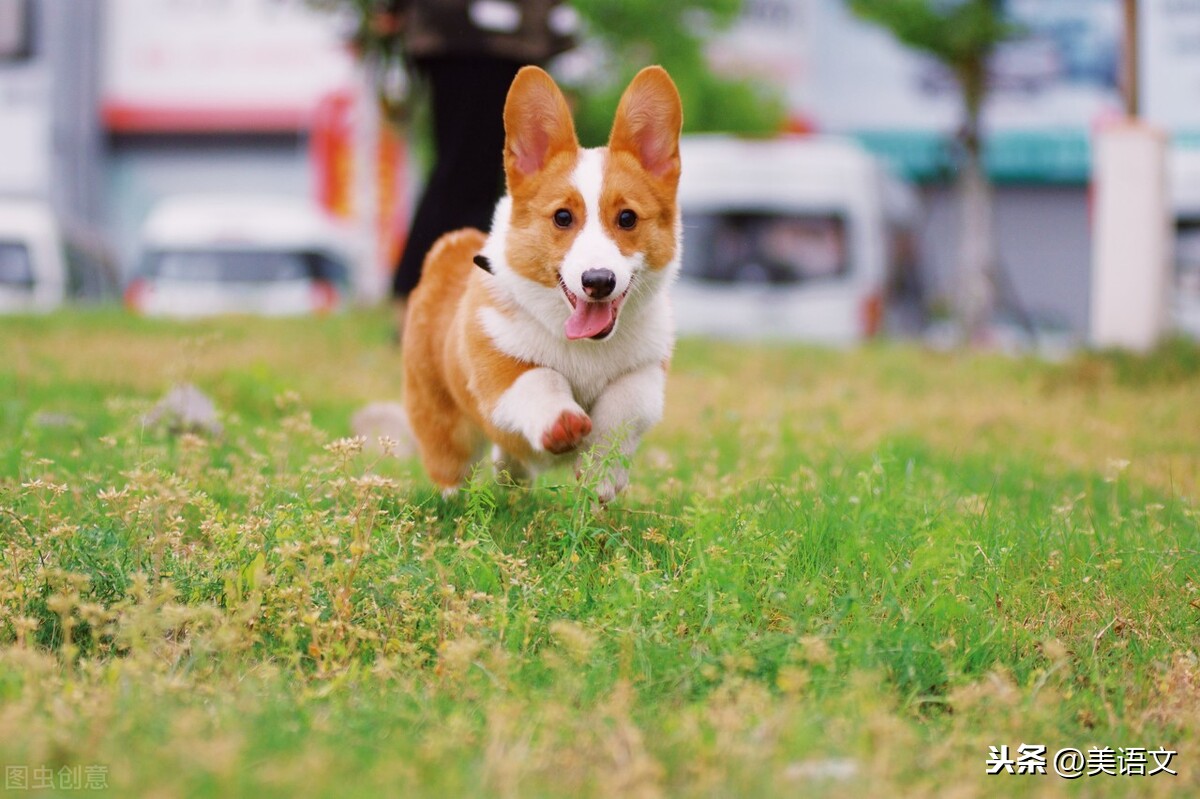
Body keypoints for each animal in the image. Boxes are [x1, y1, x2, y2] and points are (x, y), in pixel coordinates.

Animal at [403, 65, 681, 499]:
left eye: (628, 218)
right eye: (563, 217)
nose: (598, 281)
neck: (586, 348)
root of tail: (450, 251)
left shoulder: (646, 372)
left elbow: (623, 407)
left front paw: (601, 472)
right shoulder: (498, 371)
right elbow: (539, 378)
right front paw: (562, 423)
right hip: (442, 421)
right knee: (451, 465)